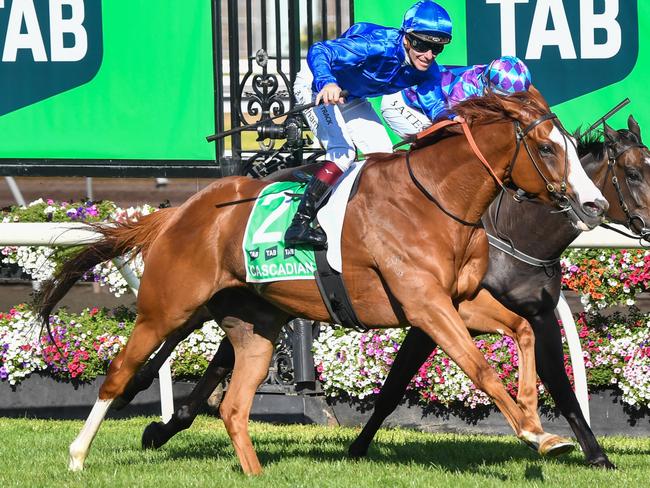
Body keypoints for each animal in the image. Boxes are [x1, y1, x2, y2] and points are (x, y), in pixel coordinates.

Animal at [38, 90, 604, 472]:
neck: (435, 200)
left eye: (572, 145)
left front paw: (536, 419)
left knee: (234, 405)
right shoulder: (425, 305)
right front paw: (536, 433)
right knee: (120, 375)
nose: (594, 204)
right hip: (165, 310)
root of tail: (178, 214)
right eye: (547, 149)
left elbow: (524, 331)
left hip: (252, 326)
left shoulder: (457, 301)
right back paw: (77, 456)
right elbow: (481, 369)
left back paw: (254, 473)